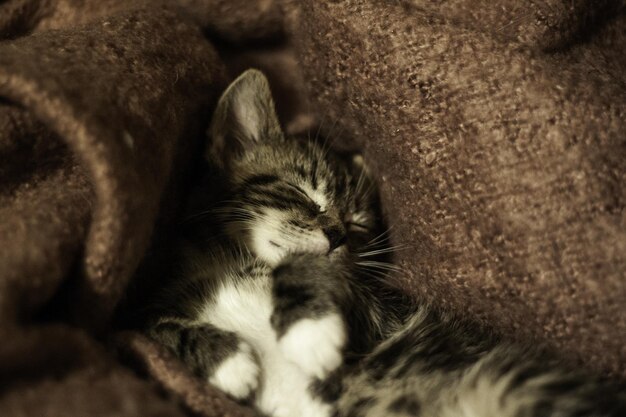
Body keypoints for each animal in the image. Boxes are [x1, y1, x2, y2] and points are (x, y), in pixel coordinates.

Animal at [143, 69, 624, 416]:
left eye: (357, 224)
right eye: (302, 193)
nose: (336, 235)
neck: (229, 261)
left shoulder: (380, 318)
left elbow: (306, 265)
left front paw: (308, 332)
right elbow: (157, 330)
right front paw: (228, 360)